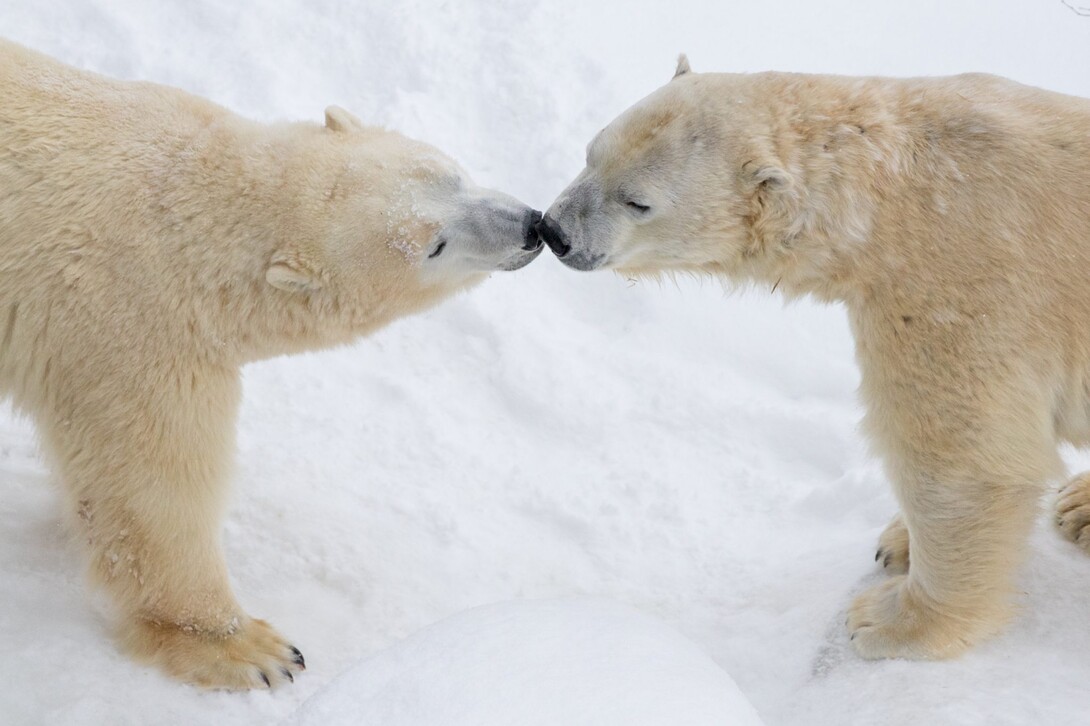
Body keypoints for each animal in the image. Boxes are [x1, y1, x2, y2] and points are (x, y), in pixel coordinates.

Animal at [0, 40, 545, 688]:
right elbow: (153, 485)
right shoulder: (131, 328)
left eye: (452, 175)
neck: (188, 208)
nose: (533, 227)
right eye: (433, 247)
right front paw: (249, 649)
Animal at [540, 55, 1090, 654]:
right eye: (591, 153)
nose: (554, 230)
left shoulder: (959, 288)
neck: (890, 194)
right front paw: (897, 542)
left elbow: (962, 464)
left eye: (637, 201)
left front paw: (885, 621)